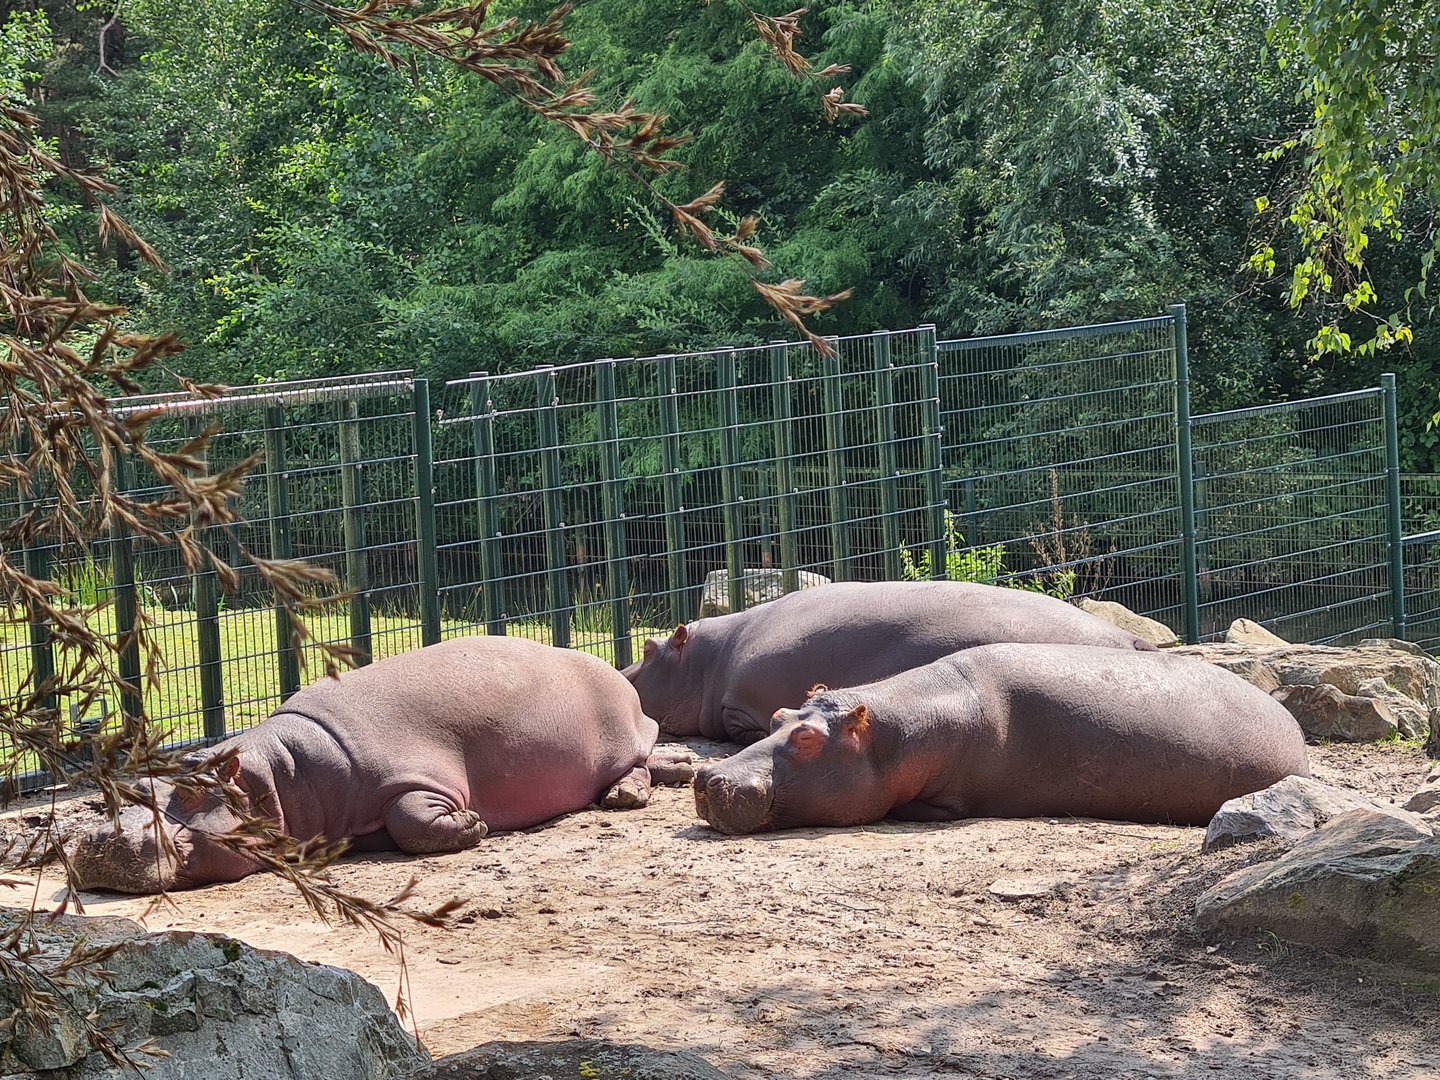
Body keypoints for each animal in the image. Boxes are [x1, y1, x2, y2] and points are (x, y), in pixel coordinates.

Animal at [71, 636, 684, 893]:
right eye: (124, 789)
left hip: (622, 738)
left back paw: (624, 796)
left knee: (642, 761)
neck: (278, 776)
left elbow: (409, 818)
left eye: (195, 791)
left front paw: (473, 825)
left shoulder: (416, 776)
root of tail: (614, 674)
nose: (100, 838)